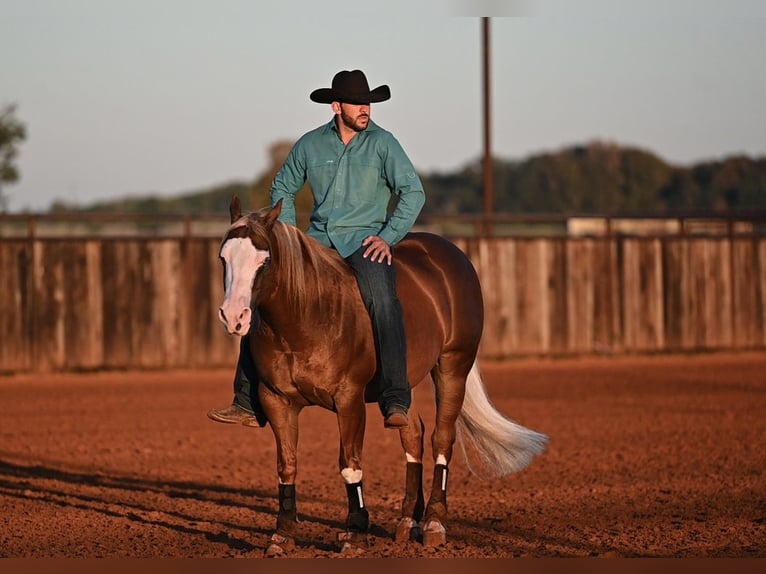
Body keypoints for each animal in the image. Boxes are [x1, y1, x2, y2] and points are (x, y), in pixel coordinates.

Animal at [217, 196, 547, 555]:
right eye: (223, 258)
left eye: (264, 260)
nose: (233, 316)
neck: (307, 315)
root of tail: (451, 255)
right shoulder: (277, 401)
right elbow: (286, 465)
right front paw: (283, 534)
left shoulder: (349, 400)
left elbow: (350, 465)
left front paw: (355, 532)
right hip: (404, 386)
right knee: (413, 435)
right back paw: (407, 521)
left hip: (452, 366)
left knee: (442, 439)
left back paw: (433, 523)